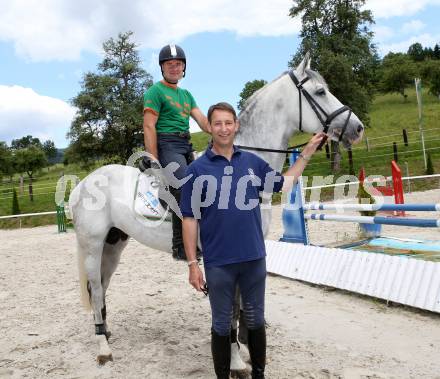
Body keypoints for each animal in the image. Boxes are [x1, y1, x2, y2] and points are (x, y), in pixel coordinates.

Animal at [69, 54, 364, 372]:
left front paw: (246, 349)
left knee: (101, 288)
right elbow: (230, 310)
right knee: (96, 288)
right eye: (320, 92)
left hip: (113, 245)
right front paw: (236, 363)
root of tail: (84, 183)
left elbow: (242, 307)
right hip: (92, 246)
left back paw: (106, 333)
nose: (357, 128)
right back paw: (103, 348)